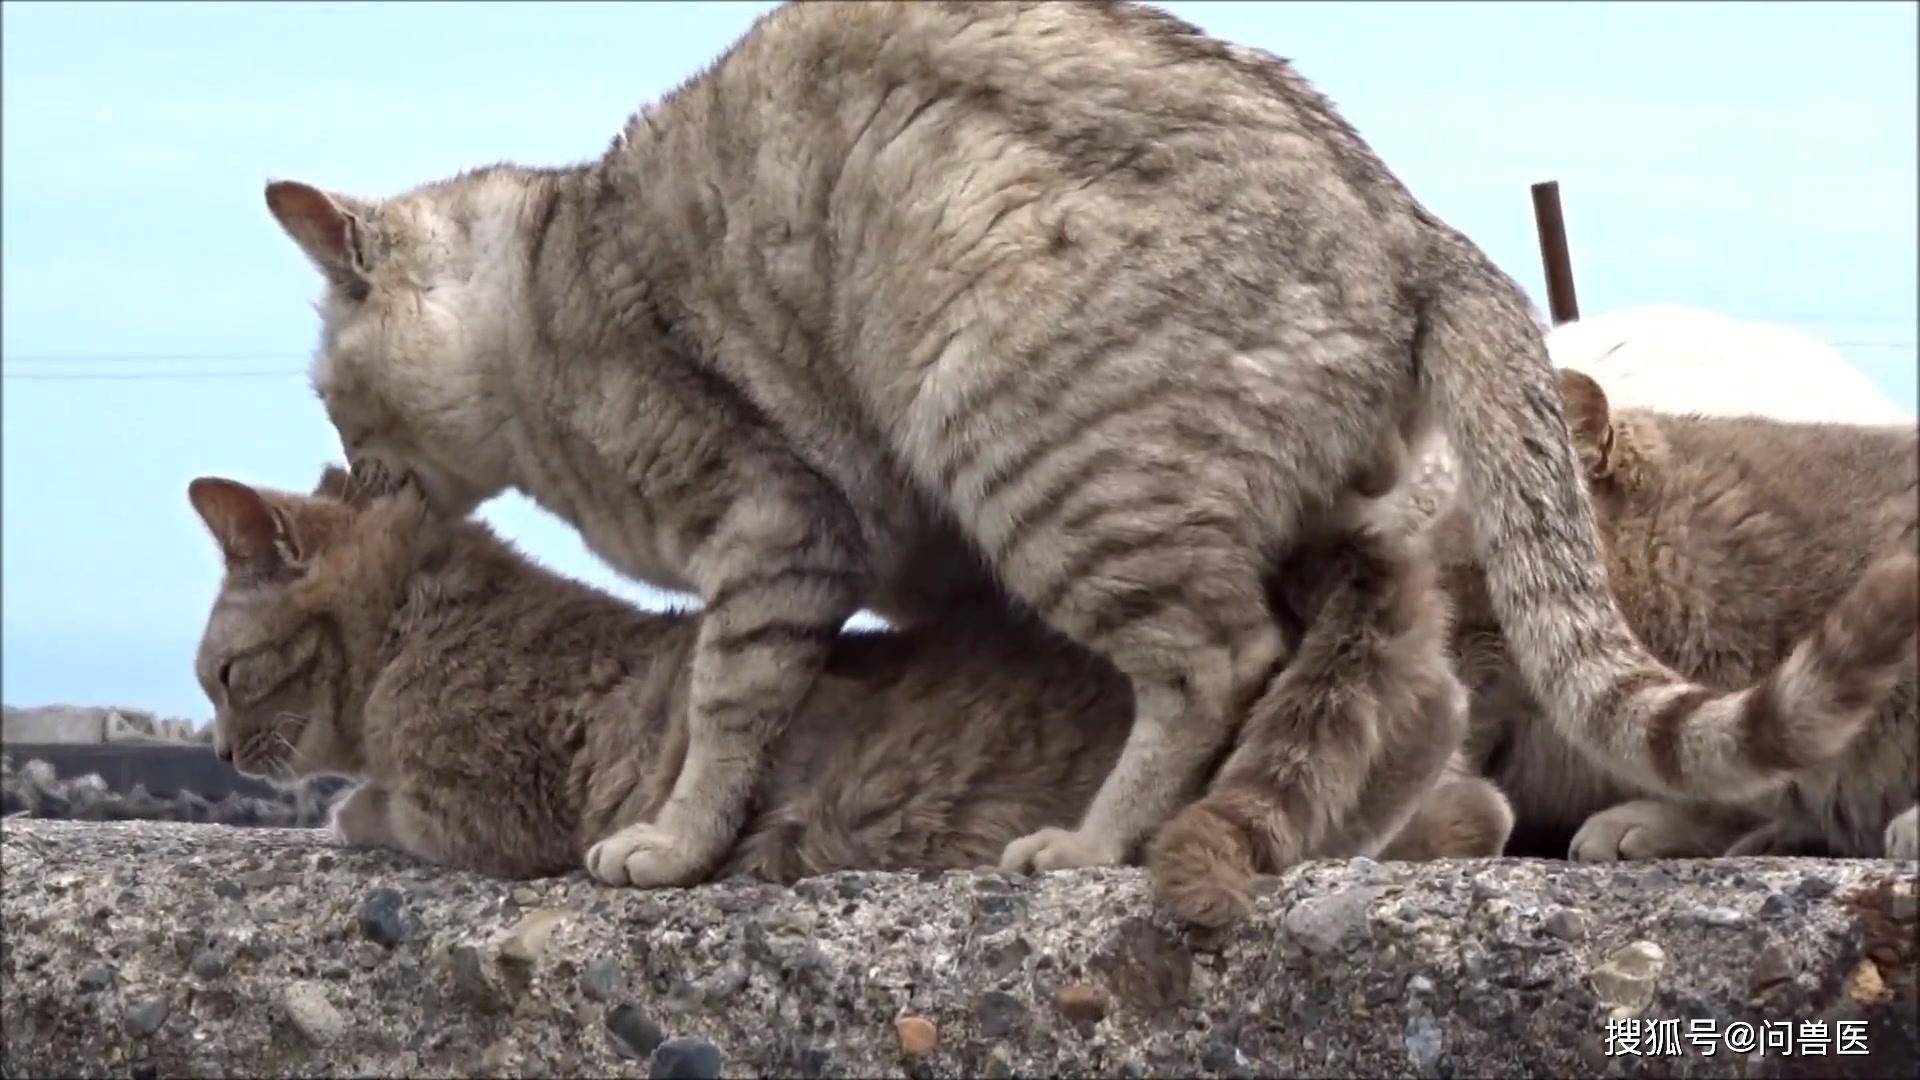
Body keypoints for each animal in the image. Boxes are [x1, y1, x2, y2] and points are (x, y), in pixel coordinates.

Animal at [187, 457, 1505, 895]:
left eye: (221, 675)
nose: (211, 751)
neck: (420, 626)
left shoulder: (481, 809)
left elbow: (370, 808)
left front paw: (336, 812)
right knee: (1452, 784)